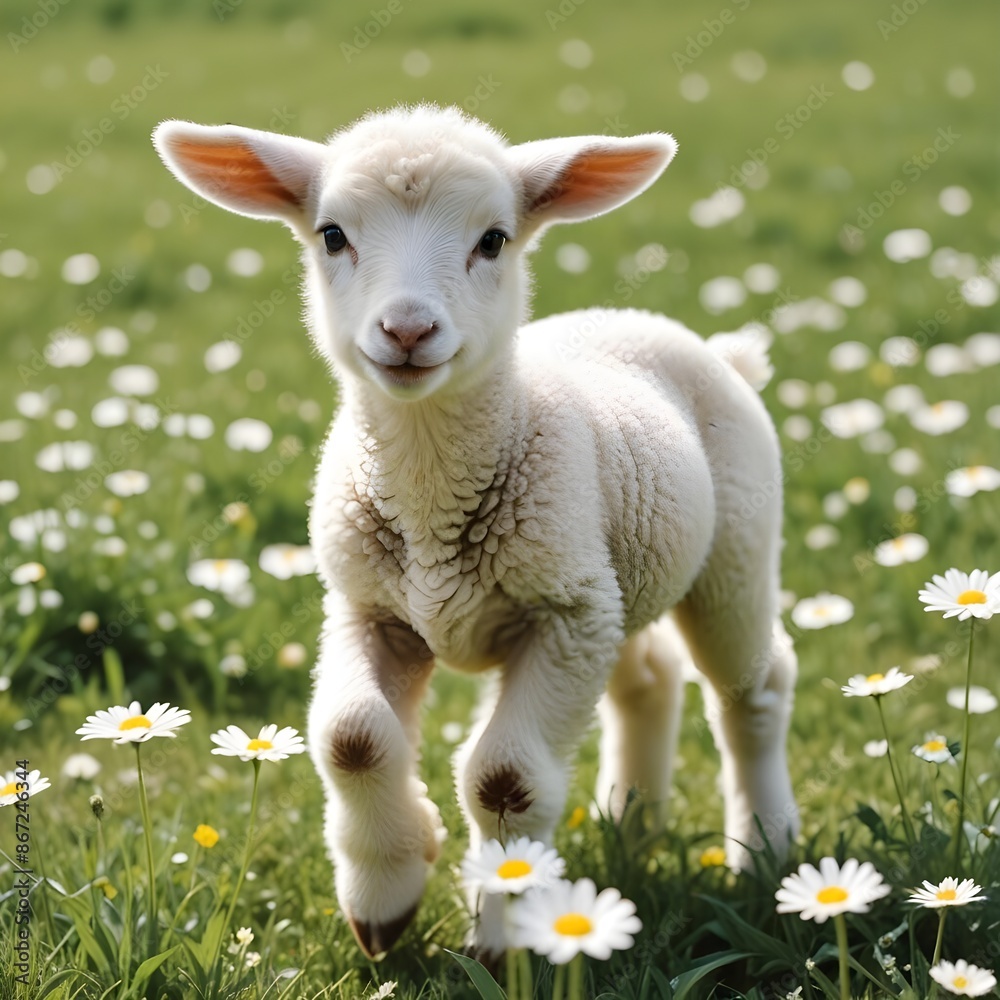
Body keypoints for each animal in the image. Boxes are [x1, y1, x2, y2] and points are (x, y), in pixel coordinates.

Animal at [152, 104, 798, 961]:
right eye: (332, 234)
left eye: (493, 239)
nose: (407, 328)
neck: (432, 503)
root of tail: (702, 344)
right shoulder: (369, 607)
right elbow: (352, 738)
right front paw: (385, 901)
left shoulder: (561, 618)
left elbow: (506, 779)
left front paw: (505, 934)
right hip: (616, 570)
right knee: (649, 677)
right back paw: (632, 825)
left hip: (730, 555)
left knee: (753, 689)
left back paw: (766, 850)